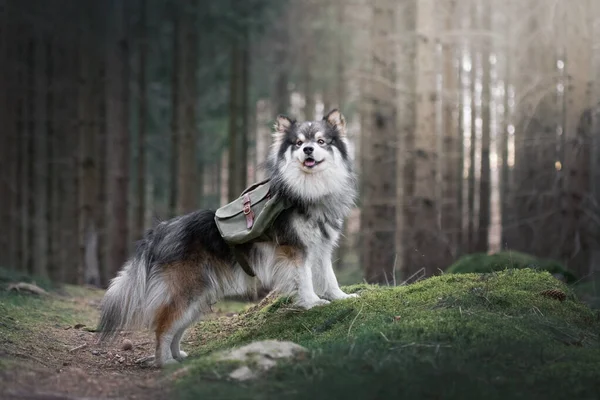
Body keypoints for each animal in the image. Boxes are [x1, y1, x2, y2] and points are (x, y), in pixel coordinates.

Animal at [98, 109, 358, 366]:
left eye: (321, 141)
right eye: (299, 143)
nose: (308, 150)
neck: (308, 189)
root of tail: (159, 231)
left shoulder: (322, 247)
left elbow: (329, 277)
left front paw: (342, 297)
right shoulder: (294, 250)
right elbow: (304, 279)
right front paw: (313, 302)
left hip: (198, 297)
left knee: (176, 328)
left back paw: (178, 356)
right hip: (185, 292)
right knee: (163, 327)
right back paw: (166, 362)